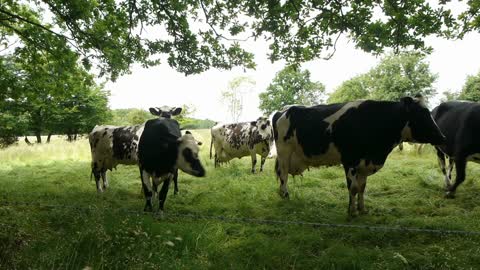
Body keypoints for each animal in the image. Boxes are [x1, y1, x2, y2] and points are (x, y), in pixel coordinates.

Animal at [272, 96, 444, 216]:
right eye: (421, 114)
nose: (442, 136)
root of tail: (283, 110)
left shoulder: (364, 163)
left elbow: (362, 187)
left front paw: (362, 209)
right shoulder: (349, 161)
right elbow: (353, 188)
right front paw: (351, 211)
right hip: (284, 152)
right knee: (283, 175)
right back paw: (285, 195)